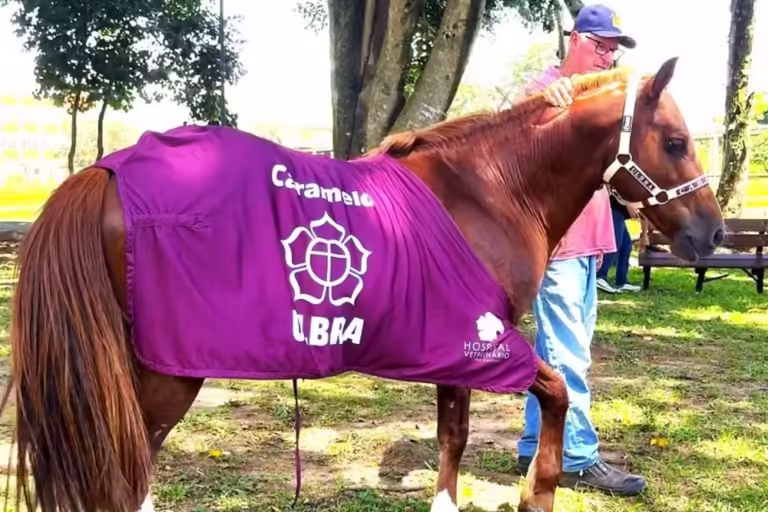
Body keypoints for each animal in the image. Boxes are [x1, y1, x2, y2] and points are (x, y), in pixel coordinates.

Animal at [2, 56, 723, 512]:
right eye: (677, 141)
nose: (711, 233)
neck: (490, 187)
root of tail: (105, 174)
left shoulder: (453, 351)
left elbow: (453, 436)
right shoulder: (485, 342)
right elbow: (555, 396)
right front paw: (537, 495)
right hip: (166, 374)